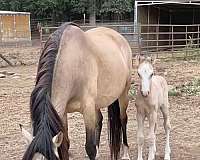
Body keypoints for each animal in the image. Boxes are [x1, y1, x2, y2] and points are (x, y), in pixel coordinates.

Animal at [21, 22, 132, 160]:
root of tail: (119, 36)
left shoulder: (88, 109)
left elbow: (90, 148)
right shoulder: (62, 113)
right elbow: (65, 145)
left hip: (123, 94)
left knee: (123, 119)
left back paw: (126, 153)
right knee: (99, 120)